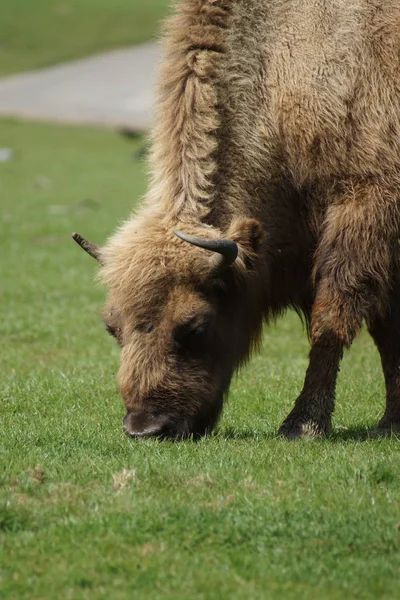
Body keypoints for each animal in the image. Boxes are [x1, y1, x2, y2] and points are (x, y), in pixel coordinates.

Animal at [73, 0, 400, 440]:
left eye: (194, 326)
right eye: (112, 326)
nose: (145, 428)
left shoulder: (364, 208)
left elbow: (333, 317)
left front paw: (303, 425)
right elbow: (385, 328)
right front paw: (391, 421)